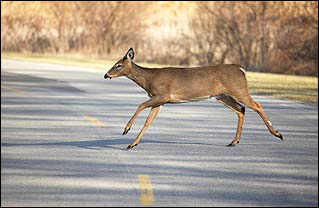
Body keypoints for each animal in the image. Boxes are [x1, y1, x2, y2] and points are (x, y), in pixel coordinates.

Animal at [104, 48, 284, 150]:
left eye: (118, 65)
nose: (106, 75)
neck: (149, 80)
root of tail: (240, 69)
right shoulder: (160, 101)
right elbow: (148, 122)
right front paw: (132, 144)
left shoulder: (163, 95)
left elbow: (140, 105)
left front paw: (126, 130)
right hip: (222, 96)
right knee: (241, 109)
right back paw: (234, 141)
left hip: (238, 89)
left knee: (256, 105)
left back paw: (277, 133)